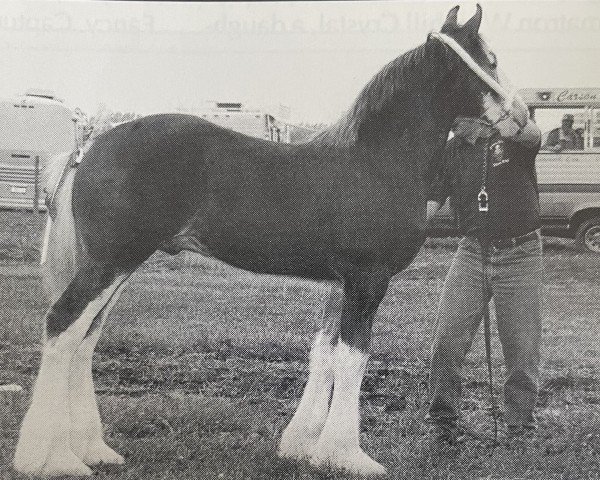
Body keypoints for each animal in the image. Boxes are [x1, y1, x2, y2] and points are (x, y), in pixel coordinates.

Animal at [14, 5, 528, 478]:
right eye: (491, 58)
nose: (522, 118)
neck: (376, 161)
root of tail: (91, 144)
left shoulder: (340, 282)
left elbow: (324, 352)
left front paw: (303, 446)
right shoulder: (368, 279)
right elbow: (353, 358)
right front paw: (348, 455)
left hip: (116, 265)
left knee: (85, 337)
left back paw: (92, 449)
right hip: (111, 261)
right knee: (63, 325)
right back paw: (50, 458)